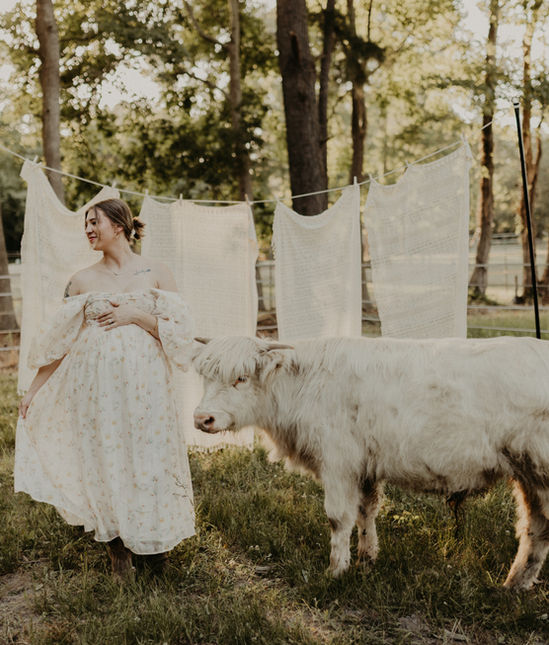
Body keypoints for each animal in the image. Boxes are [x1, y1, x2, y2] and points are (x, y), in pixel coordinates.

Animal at [192, 335, 549, 590]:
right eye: (206, 378)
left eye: (240, 378)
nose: (201, 418)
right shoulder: (364, 467)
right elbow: (366, 512)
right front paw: (366, 559)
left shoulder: (338, 463)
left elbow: (338, 519)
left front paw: (336, 570)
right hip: (529, 476)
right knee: (535, 528)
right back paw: (514, 585)